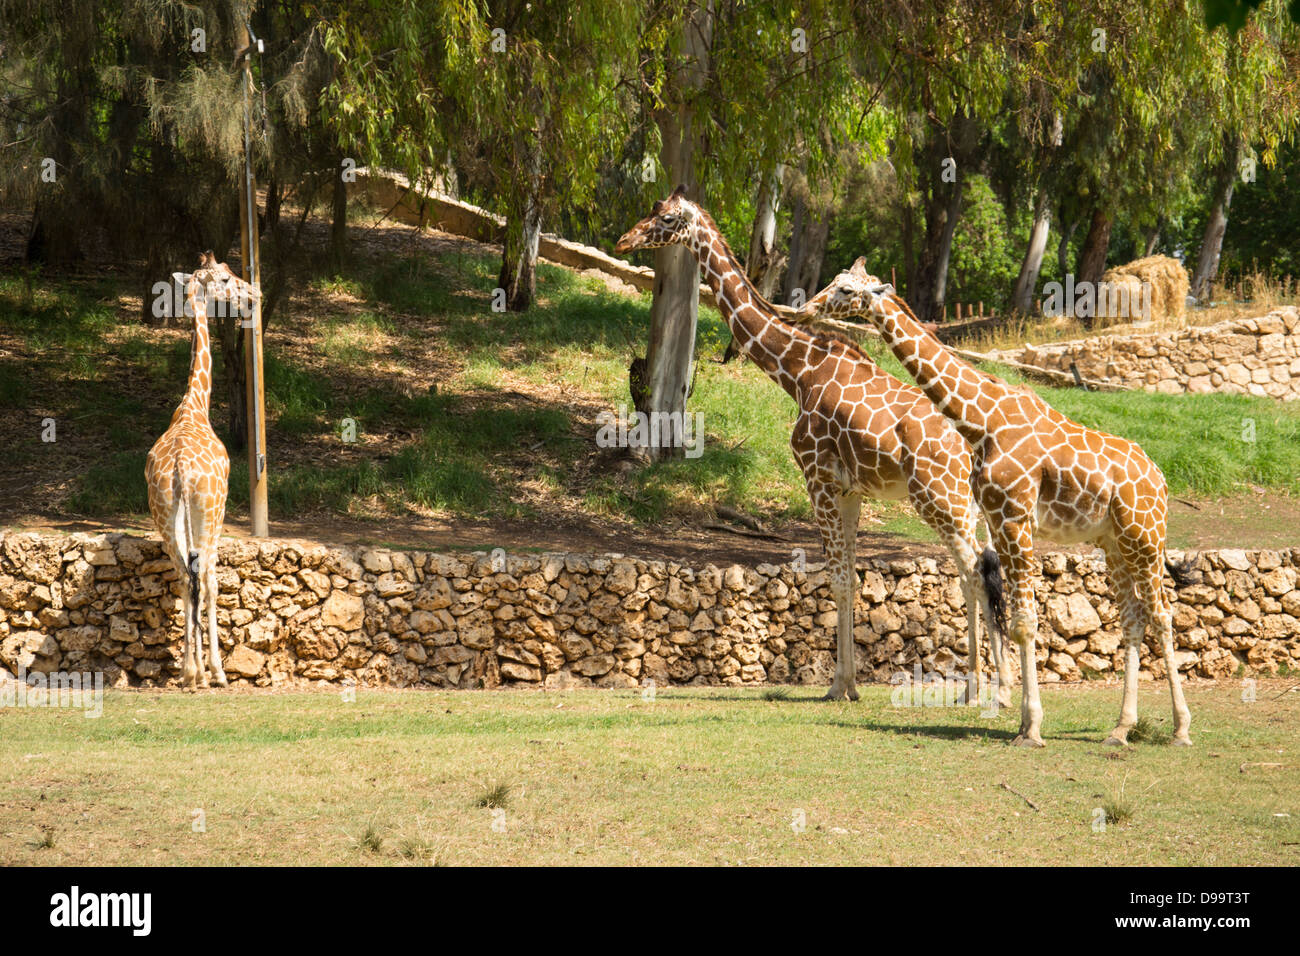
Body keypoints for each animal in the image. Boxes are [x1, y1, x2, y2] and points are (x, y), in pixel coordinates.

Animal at [144, 254, 256, 686]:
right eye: (225, 278)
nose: (253, 292)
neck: (194, 405)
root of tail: (178, 468)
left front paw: (195, 668)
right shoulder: (220, 510)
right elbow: (211, 582)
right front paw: (217, 671)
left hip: (164, 513)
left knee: (181, 574)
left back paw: (187, 671)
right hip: (209, 512)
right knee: (202, 576)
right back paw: (209, 672)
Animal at [611, 188, 1013, 712]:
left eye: (667, 217)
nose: (624, 239)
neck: (798, 373)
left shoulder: (816, 478)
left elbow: (838, 578)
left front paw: (839, 686)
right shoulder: (851, 490)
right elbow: (853, 579)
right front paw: (850, 683)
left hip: (940, 499)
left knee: (974, 573)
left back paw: (986, 692)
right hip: (972, 505)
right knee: (982, 573)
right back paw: (987, 689)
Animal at [800, 260, 1196, 749]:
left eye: (845, 290)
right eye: (835, 283)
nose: (807, 308)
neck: (981, 419)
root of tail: (1160, 478)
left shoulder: (1015, 519)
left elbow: (1026, 620)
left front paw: (1031, 727)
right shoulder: (999, 519)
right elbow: (1015, 611)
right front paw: (1022, 719)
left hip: (1145, 537)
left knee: (1162, 615)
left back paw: (1181, 728)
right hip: (1113, 543)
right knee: (1133, 618)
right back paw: (1120, 729)